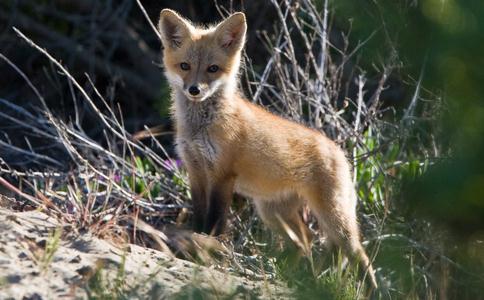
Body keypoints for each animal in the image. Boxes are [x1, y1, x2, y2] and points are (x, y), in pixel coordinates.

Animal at [159, 8, 378, 286]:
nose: (194, 90)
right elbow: (199, 217)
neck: (201, 128)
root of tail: (339, 150)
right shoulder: (195, 170)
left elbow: (215, 223)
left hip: (333, 219)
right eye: (185, 66)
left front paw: (206, 251)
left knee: (360, 257)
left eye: (212, 69)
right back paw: (295, 276)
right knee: (305, 242)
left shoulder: (222, 175)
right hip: (273, 212)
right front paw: (194, 247)